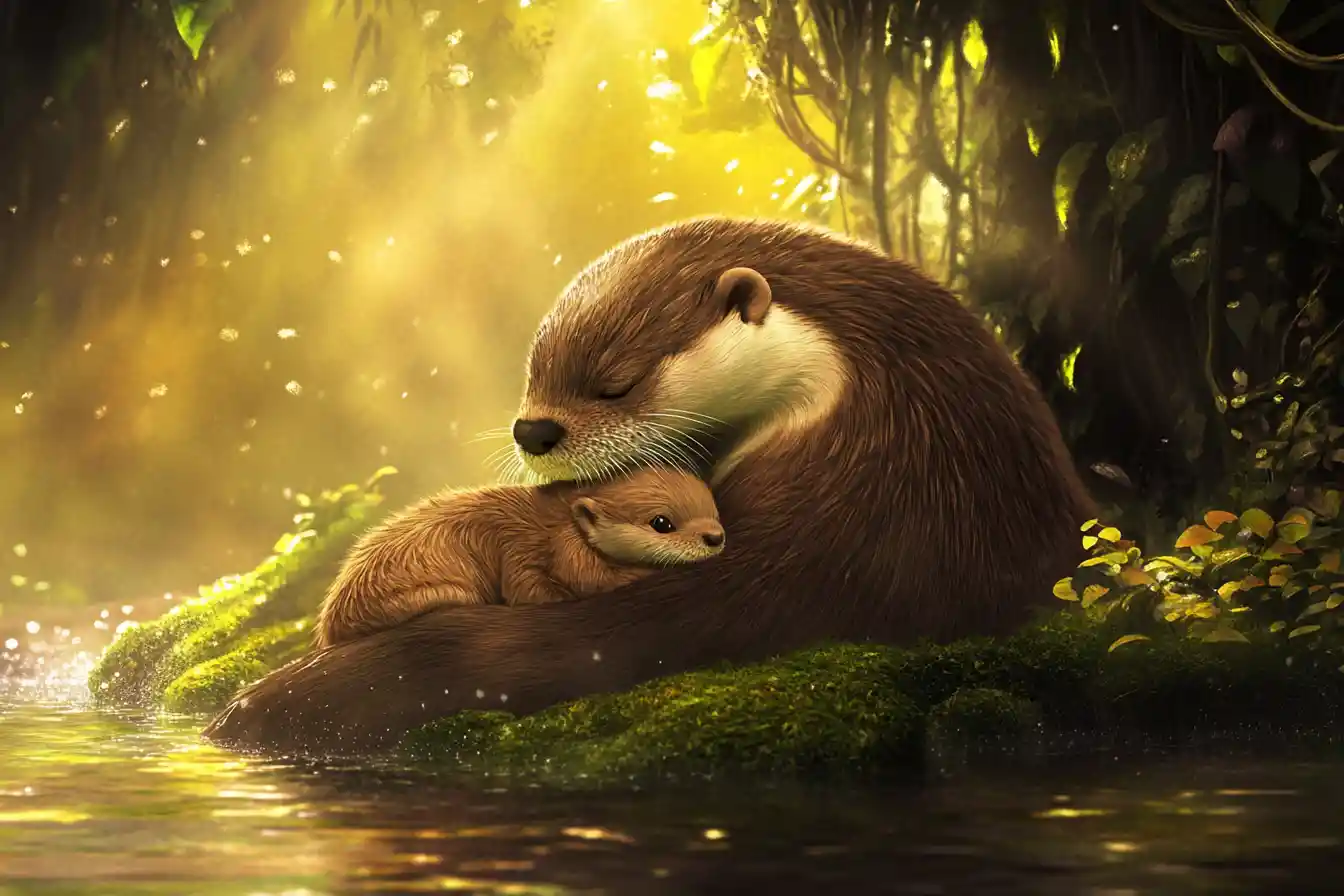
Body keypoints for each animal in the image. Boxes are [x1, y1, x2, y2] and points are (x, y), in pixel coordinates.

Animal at [314, 468, 725, 650]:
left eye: (712, 508)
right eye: (662, 523)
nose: (715, 537)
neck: (558, 520)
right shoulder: (542, 551)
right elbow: (549, 588)